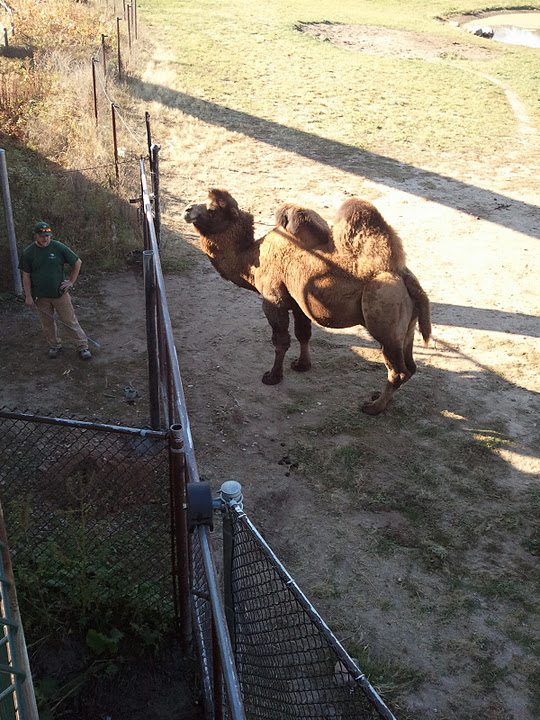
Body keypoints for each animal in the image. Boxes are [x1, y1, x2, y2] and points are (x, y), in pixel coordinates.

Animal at [184, 189, 431, 415]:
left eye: (213, 209)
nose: (187, 210)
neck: (252, 258)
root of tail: (405, 278)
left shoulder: (273, 300)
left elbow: (281, 341)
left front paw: (273, 376)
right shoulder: (299, 302)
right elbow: (303, 334)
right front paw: (302, 365)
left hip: (384, 314)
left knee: (398, 371)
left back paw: (374, 407)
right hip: (407, 326)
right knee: (410, 367)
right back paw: (379, 397)